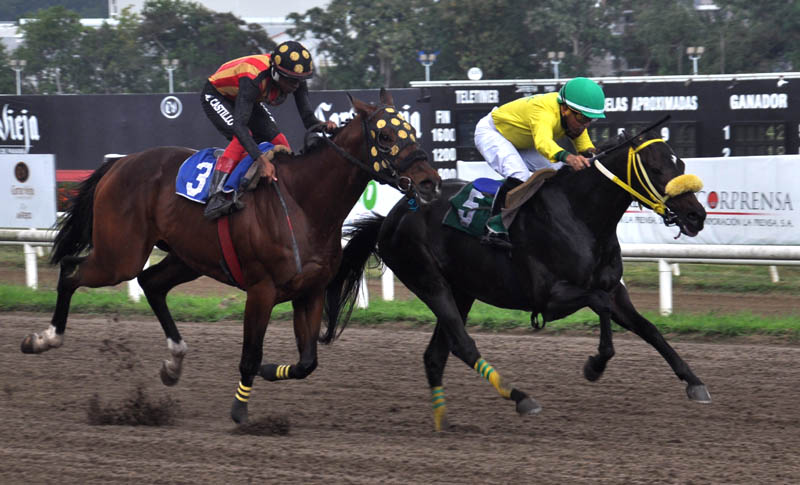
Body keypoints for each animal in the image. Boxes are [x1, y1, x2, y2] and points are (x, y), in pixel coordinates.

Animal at [21, 89, 444, 422]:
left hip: (187, 258)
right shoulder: (261, 290)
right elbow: (250, 354)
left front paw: (273, 370)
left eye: (411, 131)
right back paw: (44, 339)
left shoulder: (309, 292)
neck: (305, 203)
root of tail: (118, 163)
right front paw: (240, 411)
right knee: (72, 272)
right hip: (119, 255)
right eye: (386, 135)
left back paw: (173, 362)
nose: (429, 183)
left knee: (150, 283)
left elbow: (307, 362)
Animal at [324, 130, 712, 432]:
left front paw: (694, 382)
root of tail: (392, 216)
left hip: (462, 290)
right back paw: (520, 397)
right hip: (429, 282)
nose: (696, 215)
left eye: (680, 165)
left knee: (436, 355)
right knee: (463, 345)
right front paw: (595, 365)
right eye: (657, 168)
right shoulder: (550, 297)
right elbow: (599, 307)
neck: (580, 216)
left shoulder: (614, 290)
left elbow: (650, 329)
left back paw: (444, 422)